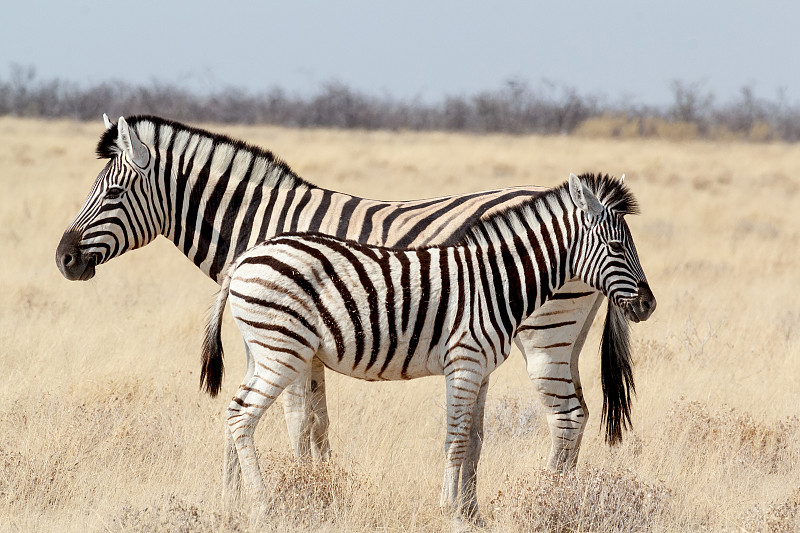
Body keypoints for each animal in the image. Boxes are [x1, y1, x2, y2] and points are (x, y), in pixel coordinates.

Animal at [54, 114, 636, 492]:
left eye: (111, 193)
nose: (63, 258)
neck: (262, 223)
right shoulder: (299, 344)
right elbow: (316, 422)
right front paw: (294, 487)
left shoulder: (293, 343)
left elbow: (297, 421)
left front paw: (300, 489)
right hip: (567, 336)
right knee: (578, 413)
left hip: (546, 334)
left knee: (566, 416)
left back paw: (552, 501)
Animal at [200, 172, 656, 520]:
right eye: (617, 247)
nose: (649, 305)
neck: (496, 282)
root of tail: (246, 256)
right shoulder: (464, 363)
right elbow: (455, 440)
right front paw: (449, 509)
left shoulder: (479, 369)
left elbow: (471, 440)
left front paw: (469, 514)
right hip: (281, 351)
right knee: (241, 416)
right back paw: (263, 505)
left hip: (264, 351)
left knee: (234, 412)